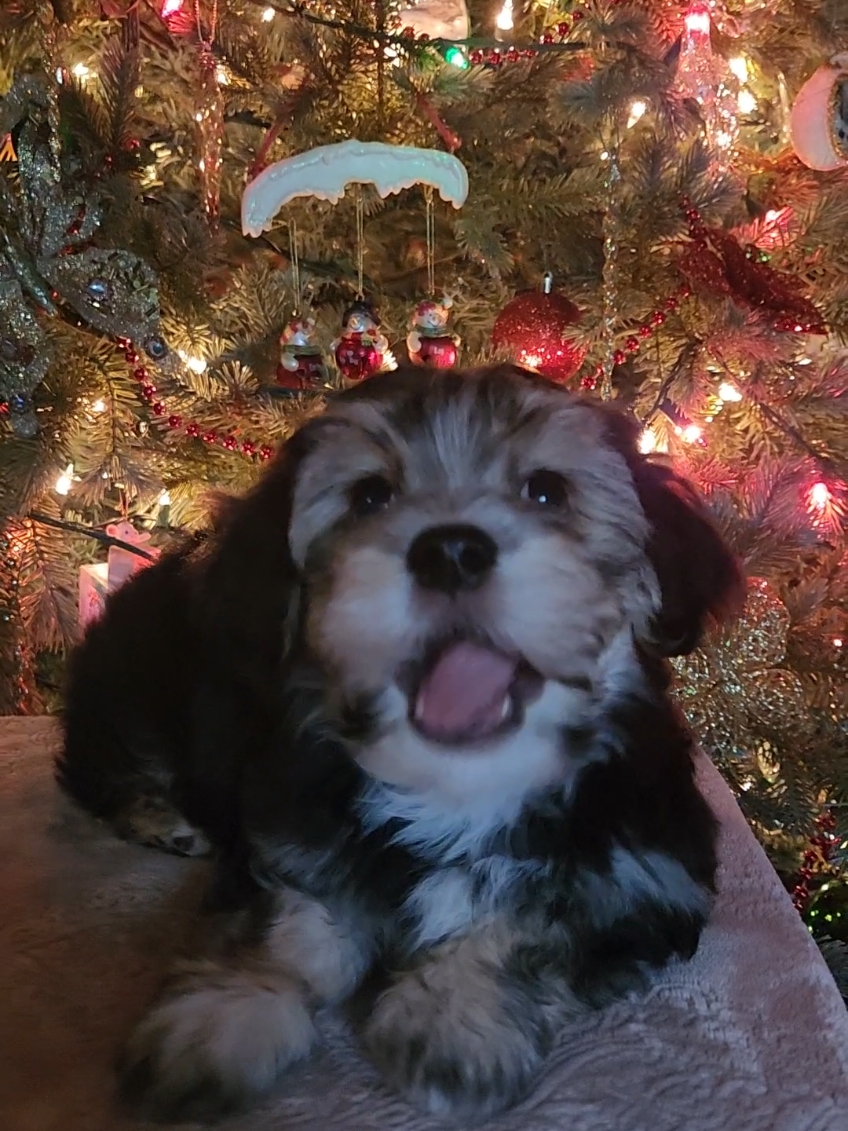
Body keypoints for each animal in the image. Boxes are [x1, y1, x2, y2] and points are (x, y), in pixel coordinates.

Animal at [58, 364, 741, 1121]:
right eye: (369, 496)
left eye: (547, 490)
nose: (450, 550)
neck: (458, 786)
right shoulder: (289, 834)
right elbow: (289, 928)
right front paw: (219, 1020)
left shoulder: (644, 883)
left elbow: (527, 923)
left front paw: (454, 1019)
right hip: (137, 681)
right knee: (103, 763)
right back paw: (163, 818)